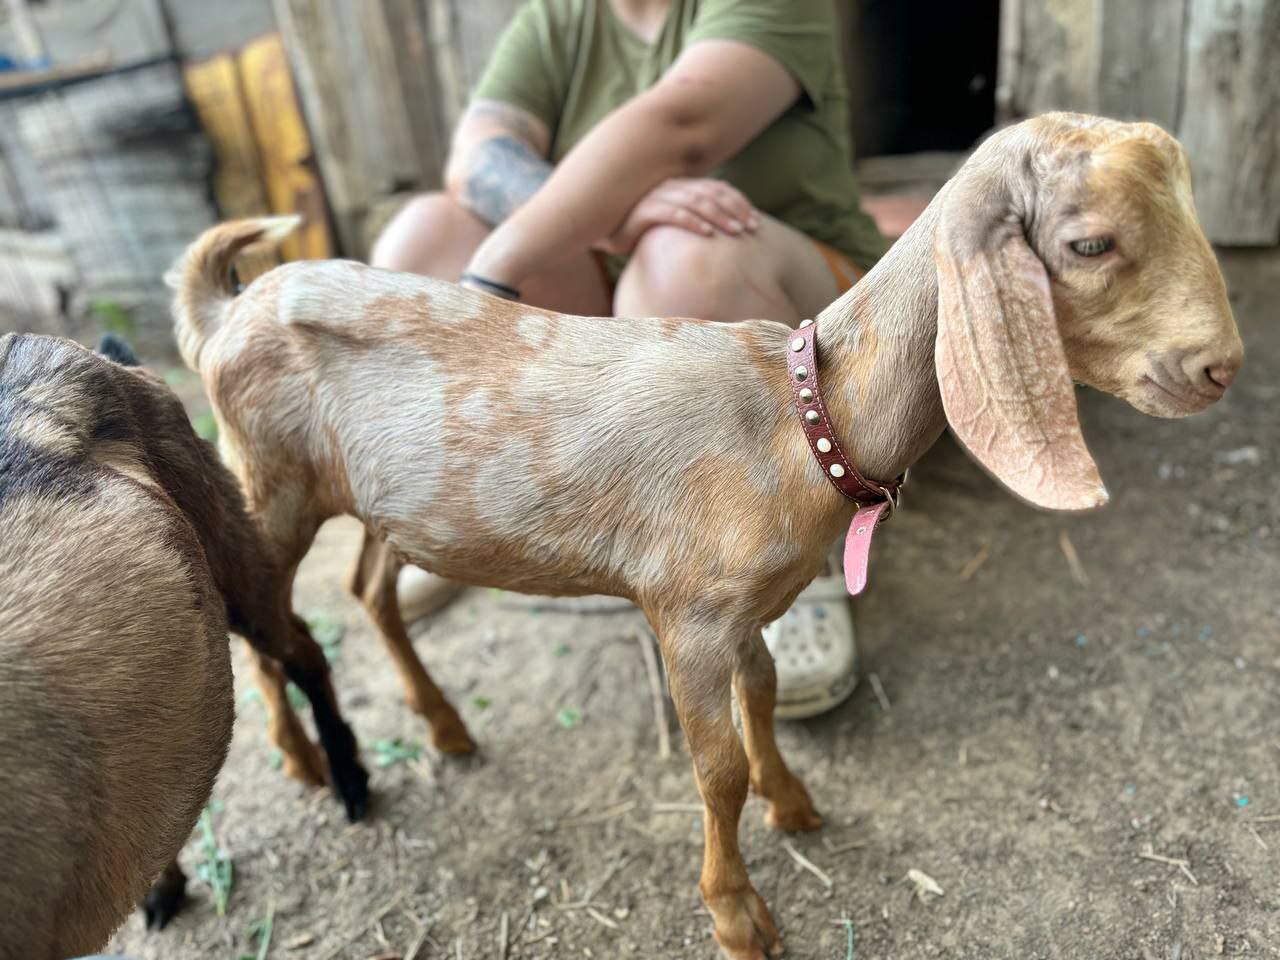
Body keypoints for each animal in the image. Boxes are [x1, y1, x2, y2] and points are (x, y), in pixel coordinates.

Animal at [170, 114, 1239, 960]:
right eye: (1091, 243)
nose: (1219, 367)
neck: (804, 416)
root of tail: (224, 310)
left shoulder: (750, 606)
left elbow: (761, 693)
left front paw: (794, 800)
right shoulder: (683, 613)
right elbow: (713, 768)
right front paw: (740, 917)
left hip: (384, 503)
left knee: (366, 592)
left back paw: (445, 727)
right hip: (266, 480)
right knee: (259, 620)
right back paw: (307, 763)